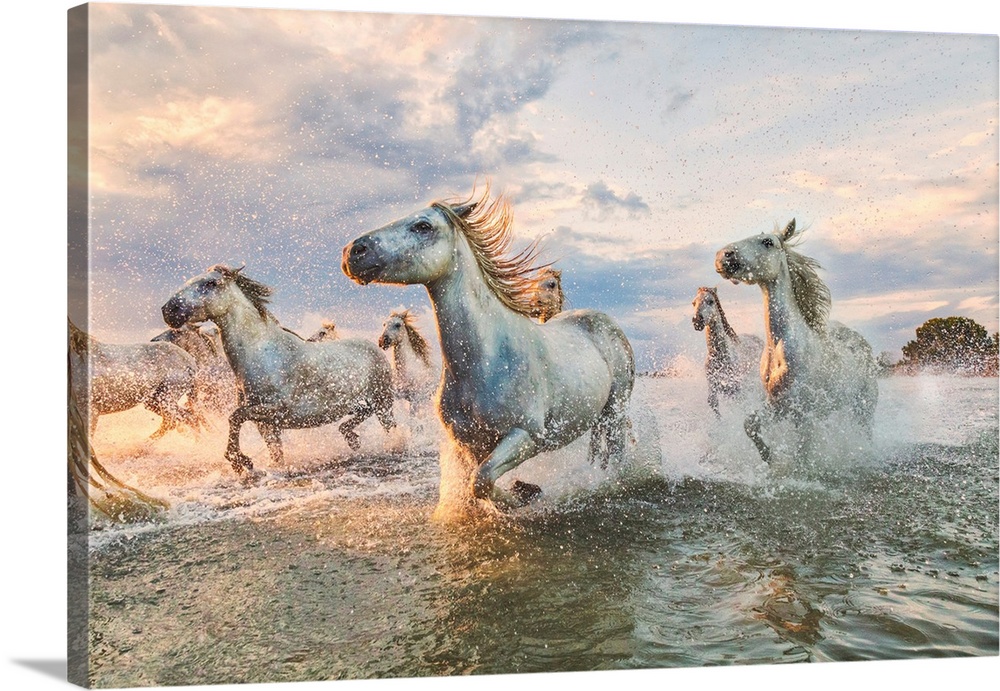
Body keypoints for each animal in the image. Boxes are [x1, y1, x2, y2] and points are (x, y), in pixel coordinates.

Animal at [68, 318, 199, 438]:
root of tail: (190, 361)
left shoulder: (89, 411)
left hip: (165, 398)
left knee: (177, 421)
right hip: (153, 402)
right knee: (184, 419)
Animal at [161, 262, 394, 474]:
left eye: (211, 283)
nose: (168, 310)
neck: (262, 355)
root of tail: (374, 347)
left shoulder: (276, 410)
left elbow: (234, 417)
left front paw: (240, 461)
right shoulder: (267, 424)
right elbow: (274, 453)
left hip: (383, 403)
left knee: (389, 426)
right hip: (355, 405)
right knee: (360, 414)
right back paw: (352, 438)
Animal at [342, 185, 632, 512]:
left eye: (423, 226)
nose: (353, 251)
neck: (487, 360)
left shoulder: (526, 435)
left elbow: (481, 480)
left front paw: (525, 494)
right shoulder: (470, 442)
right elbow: (478, 481)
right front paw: (523, 490)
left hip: (615, 410)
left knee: (616, 452)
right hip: (596, 418)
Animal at [696, 286, 764, 416]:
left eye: (710, 301)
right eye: (694, 303)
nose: (697, 321)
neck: (719, 356)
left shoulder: (736, 390)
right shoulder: (714, 386)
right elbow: (713, 403)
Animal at [720, 219, 876, 462]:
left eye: (768, 242)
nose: (724, 256)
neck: (779, 348)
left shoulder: (803, 415)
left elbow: (803, 453)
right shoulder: (777, 407)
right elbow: (750, 424)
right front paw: (768, 456)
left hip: (864, 409)